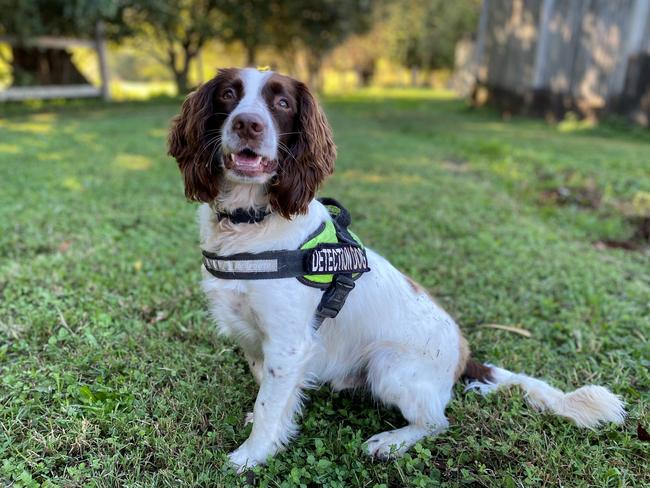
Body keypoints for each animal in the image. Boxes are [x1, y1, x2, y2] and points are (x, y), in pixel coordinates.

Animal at [167, 67, 624, 472]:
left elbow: (269, 403)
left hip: (389, 365)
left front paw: (251, 455)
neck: (250, 222)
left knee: (437, 421)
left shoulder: (288, 342)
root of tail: (463, 356)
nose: (248, 124)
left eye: (281, 103)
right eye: (229, 95)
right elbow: (271, 390)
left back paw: (391, 442)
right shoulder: (257, 338)